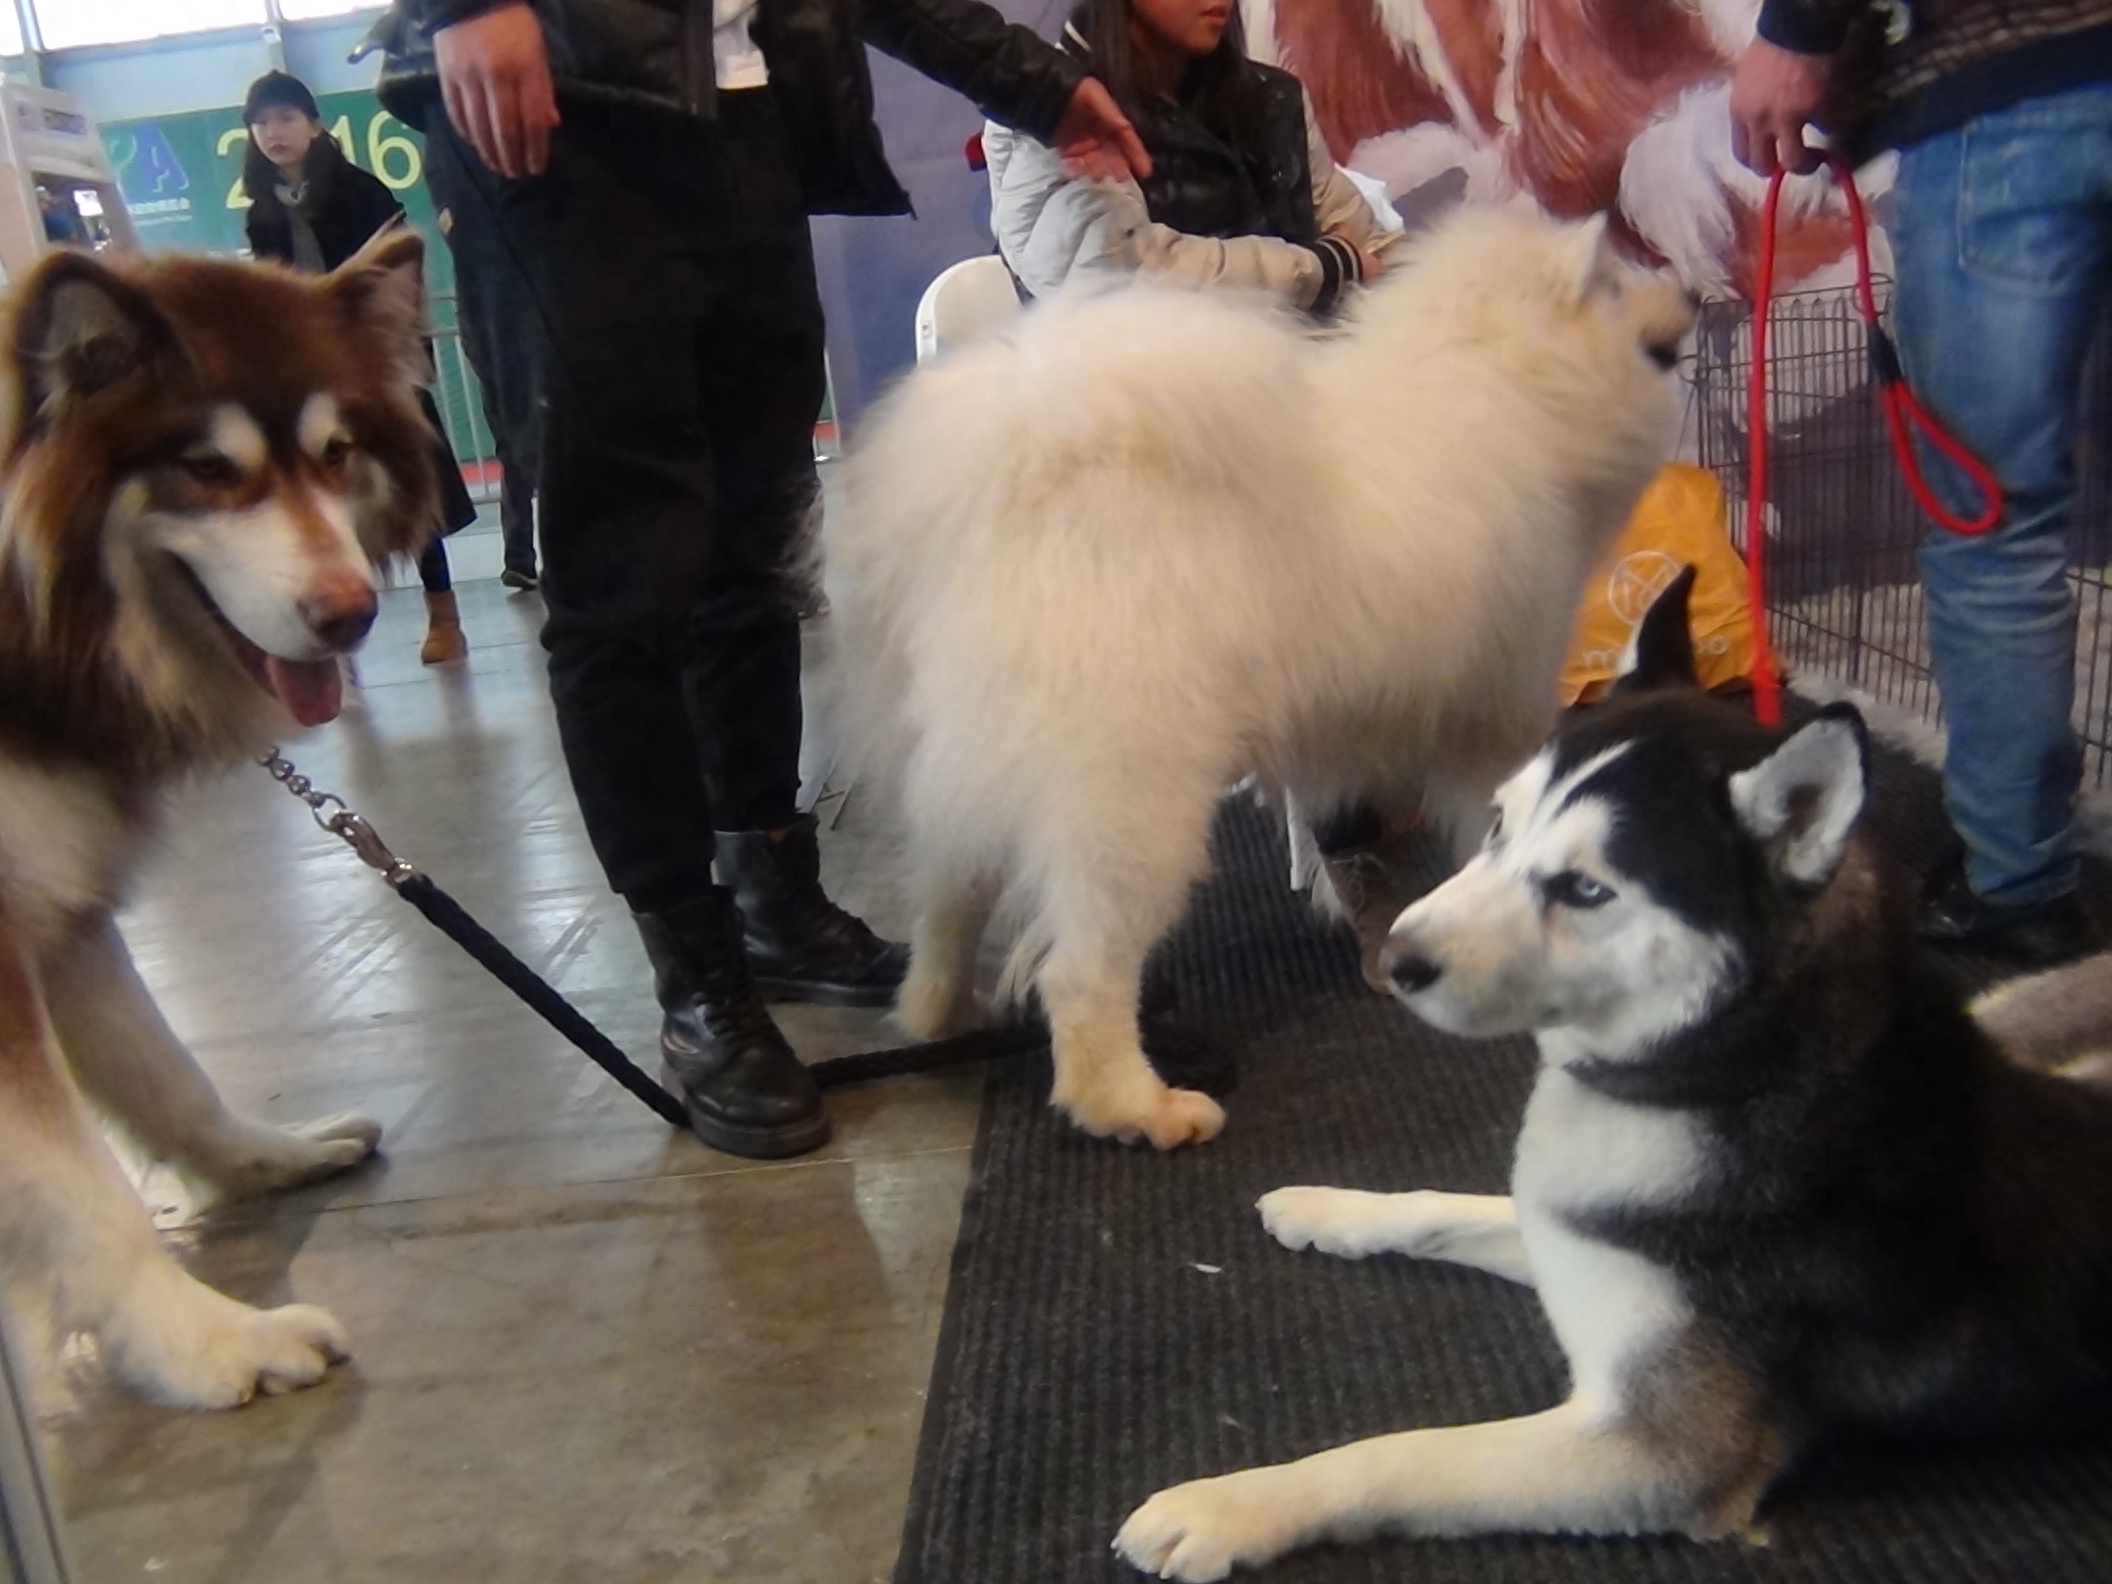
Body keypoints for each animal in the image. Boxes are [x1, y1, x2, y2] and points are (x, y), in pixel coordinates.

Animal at [832, 208, 1689, 1157]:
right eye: (1619, 282)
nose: (1687, 294)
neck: (1506, 373)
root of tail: (1018, 478)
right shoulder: (1496, 707)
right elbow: (1500, 820)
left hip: (963, 770)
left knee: (949, 895)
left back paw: (936, 1010)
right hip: (1131, 800)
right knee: (1080, 974)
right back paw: (1144, 1108)